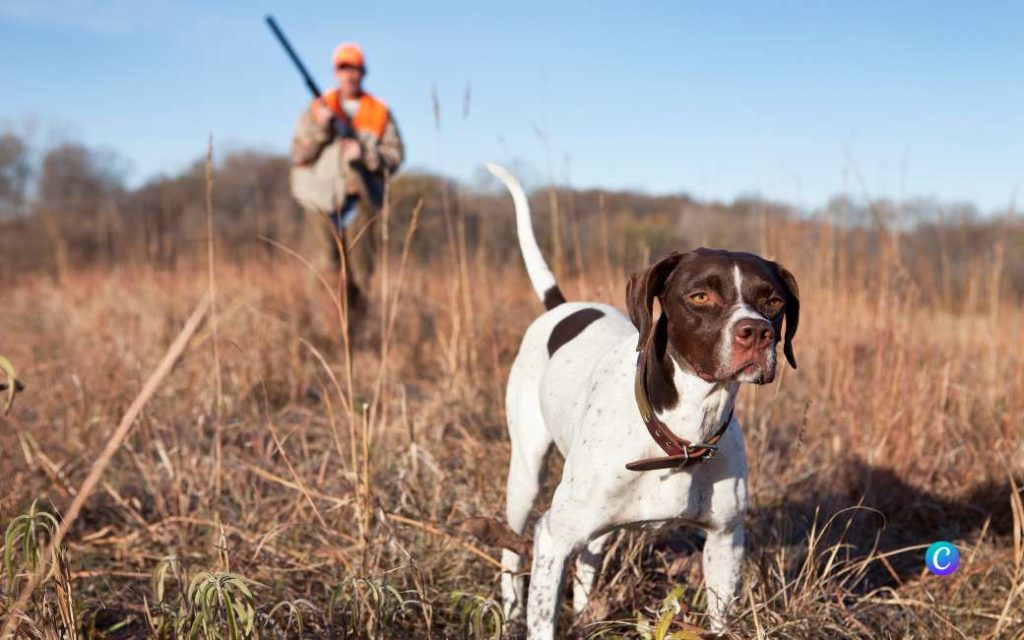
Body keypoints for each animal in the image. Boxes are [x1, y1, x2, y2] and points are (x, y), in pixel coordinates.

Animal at [487, 161, 798, 634]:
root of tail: (559, 307)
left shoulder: (725, 542)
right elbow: (543, 616)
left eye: (773, 300)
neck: (681, 433)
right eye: (700, 295)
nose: (757, 332)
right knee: (511, 548)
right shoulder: (553, 539)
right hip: (526, 475)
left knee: (590, 557)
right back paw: (509, 615)